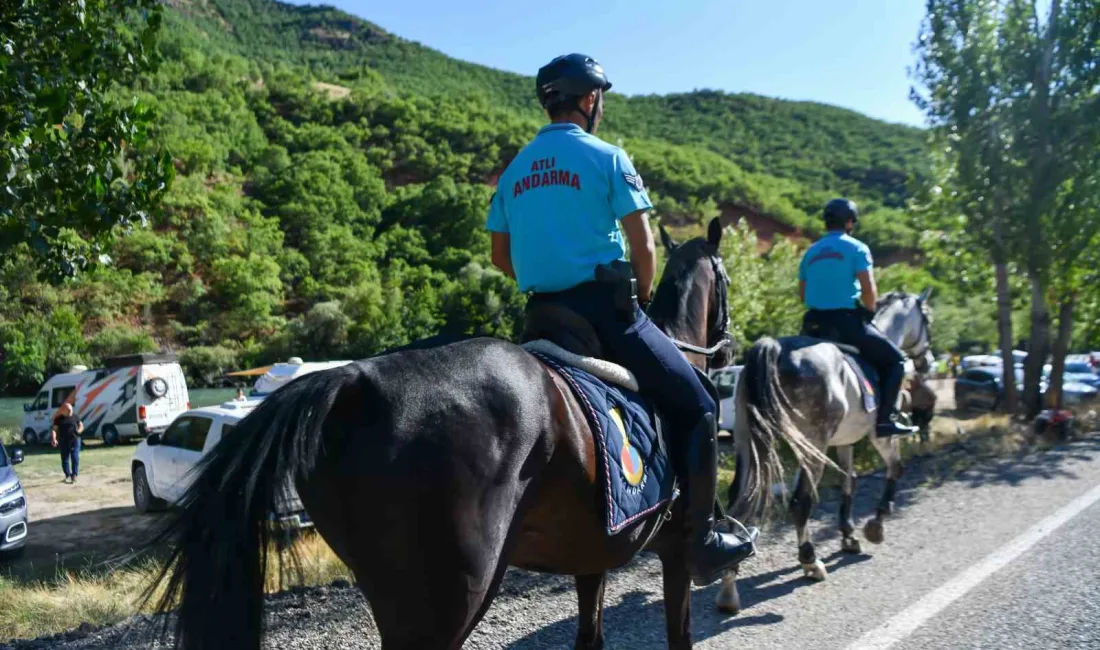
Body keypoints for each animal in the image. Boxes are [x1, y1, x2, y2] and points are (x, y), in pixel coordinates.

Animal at [148, 219, 739, 650]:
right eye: (727, 280)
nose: (727, 347)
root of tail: (352, 380)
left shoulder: (591, 558)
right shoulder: (675, 555)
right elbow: (680, 635)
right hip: (448, 603)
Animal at [717, 290, 932, 615]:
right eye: (927, 319)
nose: (927, 362)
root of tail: (775, 347)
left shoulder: (844, 441)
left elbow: (849, 481)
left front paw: (848, 534)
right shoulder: (879, 435)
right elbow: (895, 468)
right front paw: (876, 525)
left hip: (748, 442)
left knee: (738, 502)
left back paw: (729, 589)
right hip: (813, 444)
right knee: (800, 503)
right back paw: (810, 561)